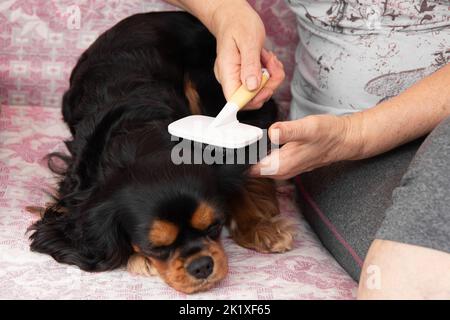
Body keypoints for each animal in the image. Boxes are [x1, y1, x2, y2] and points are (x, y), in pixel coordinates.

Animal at [27, 11, 296, 292]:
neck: (139, 136)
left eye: (214, 226)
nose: (201, 265)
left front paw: (259, 226)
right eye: (155, 247)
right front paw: (139, 259)